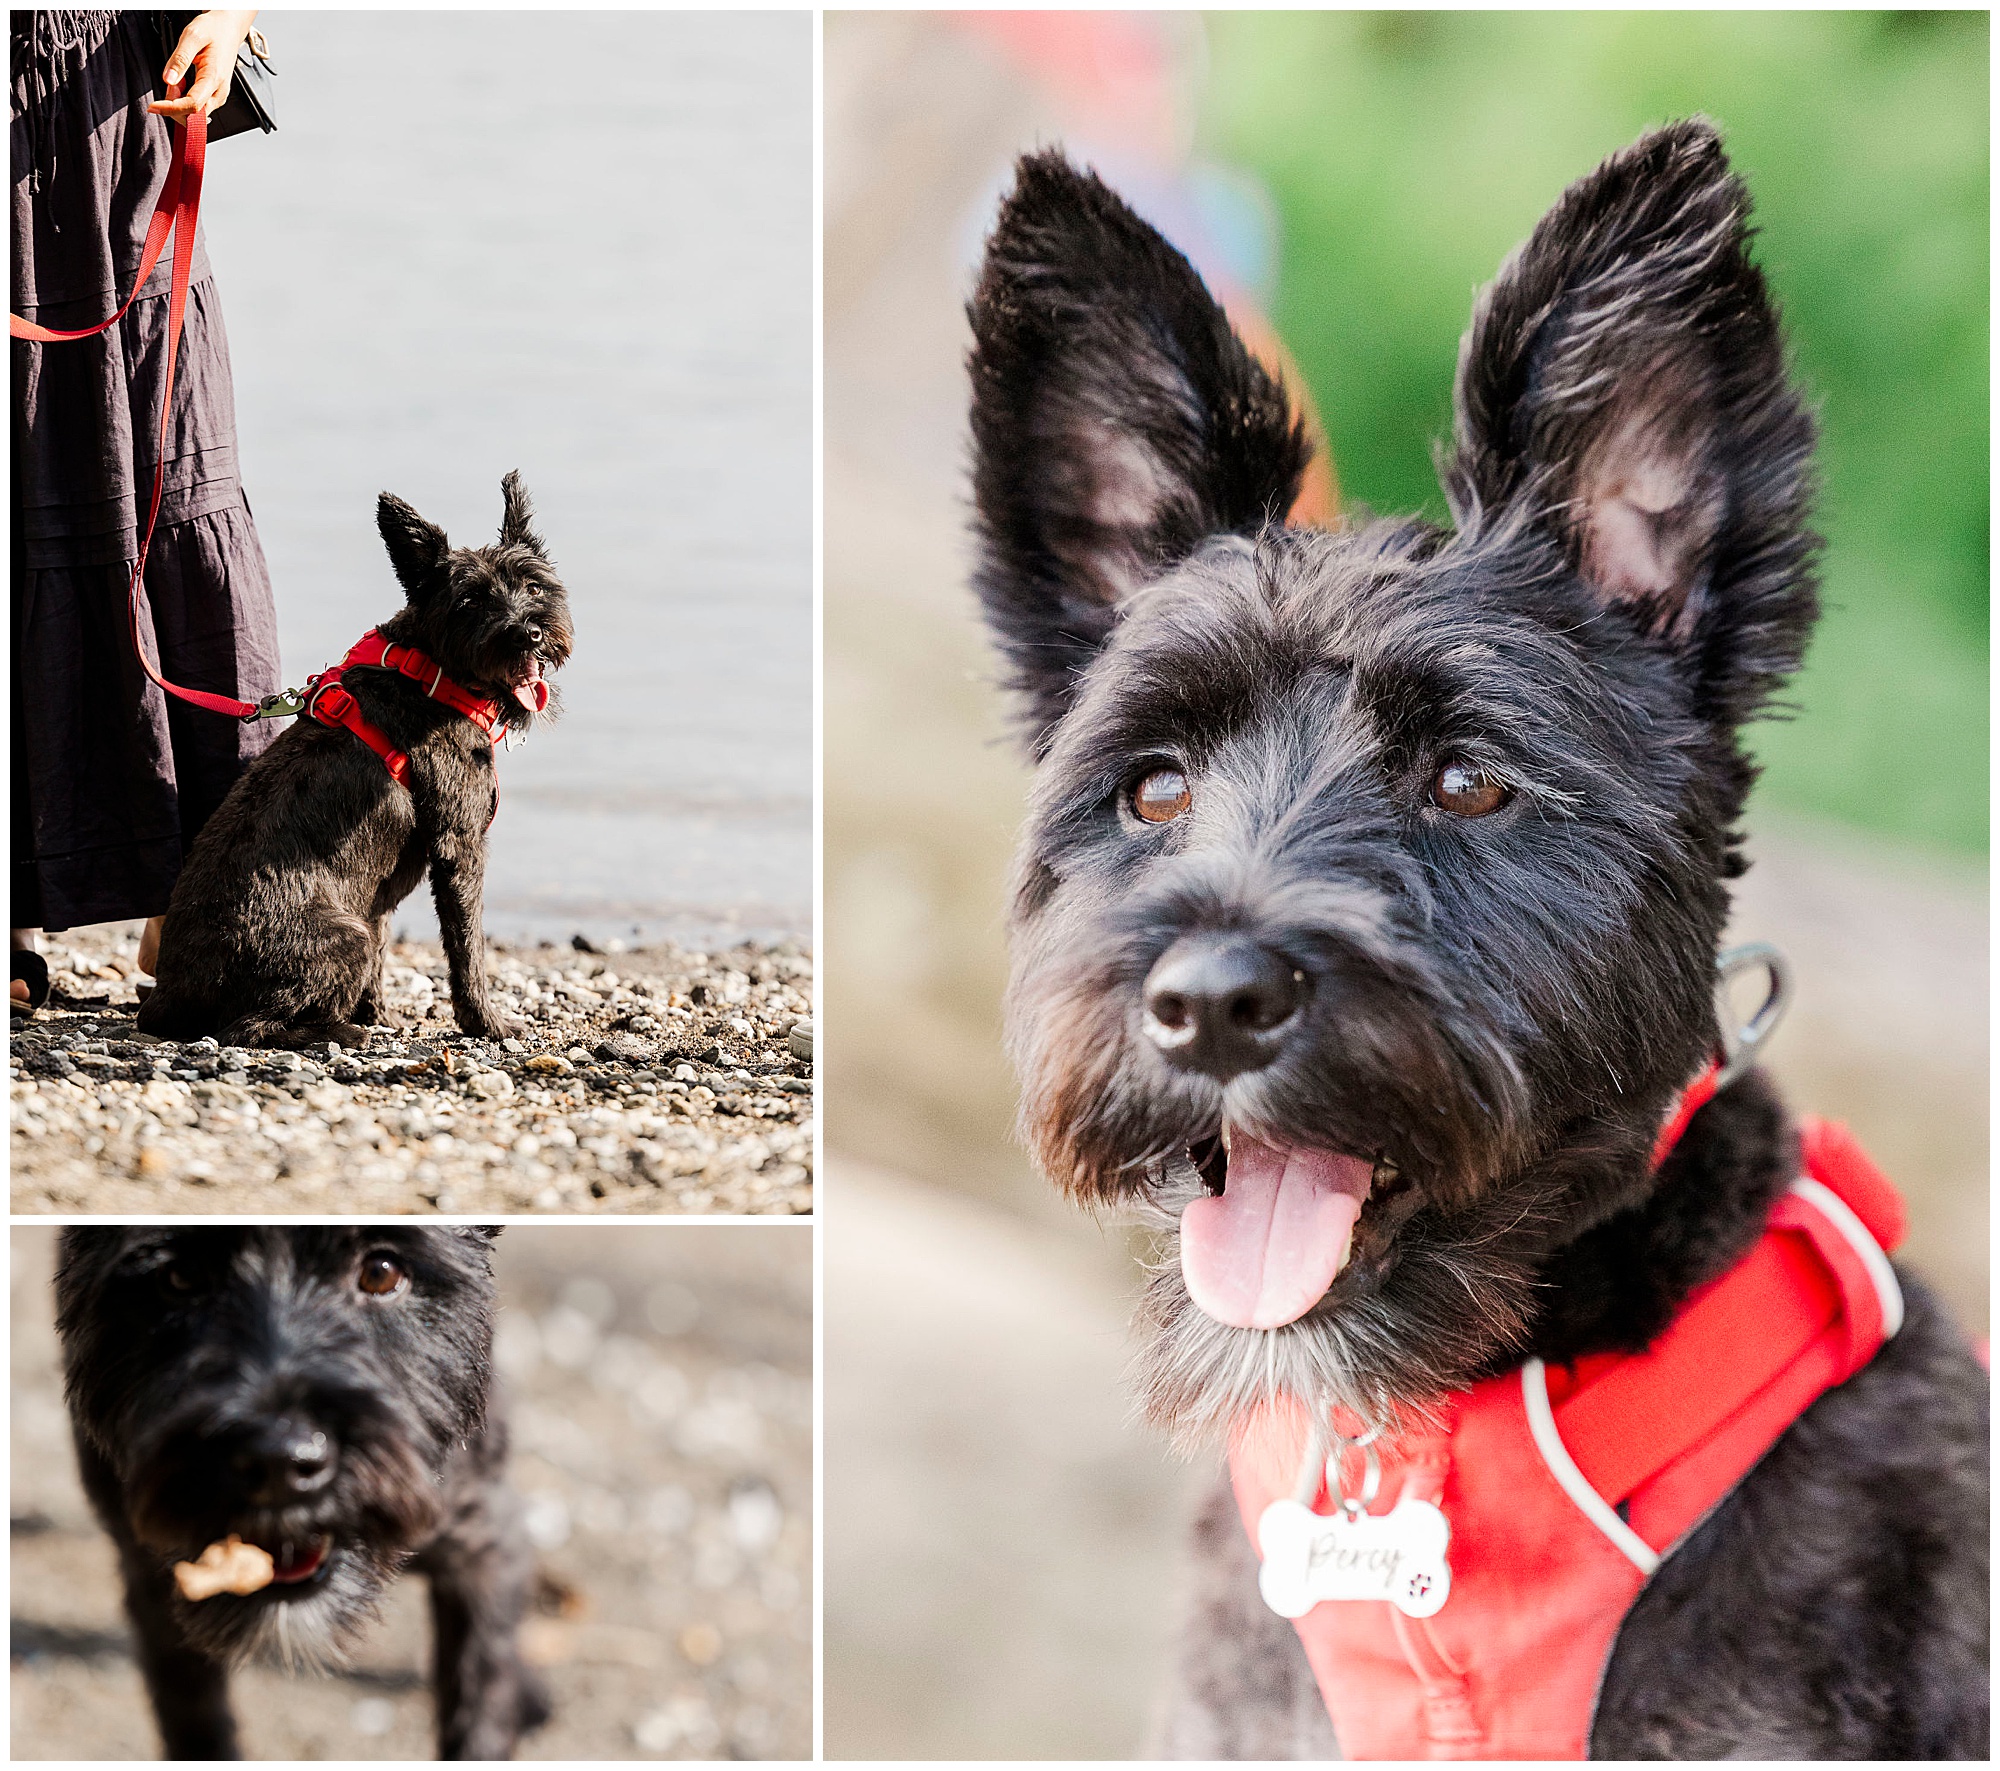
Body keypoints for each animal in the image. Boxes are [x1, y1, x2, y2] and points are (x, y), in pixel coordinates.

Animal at [58, 1223, 552, 1767]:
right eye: (180, 1277)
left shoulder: (484, 1541)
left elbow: (481, 1694)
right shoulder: (152, 1578)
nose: (279, 1462)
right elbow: (193, 1718)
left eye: (381, 1273)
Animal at [139, 475, 572, 1055]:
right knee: (248, 1028)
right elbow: (467, 948)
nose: (528, 632)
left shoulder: (379, 894)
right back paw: (339, 1030)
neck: (430, 673)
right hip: (346, 938)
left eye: (534, 585)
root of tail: (171, 996)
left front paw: (379, 1012)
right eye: (469, 600)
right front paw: (487, 1023)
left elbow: (387, 941)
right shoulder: (459, 848)